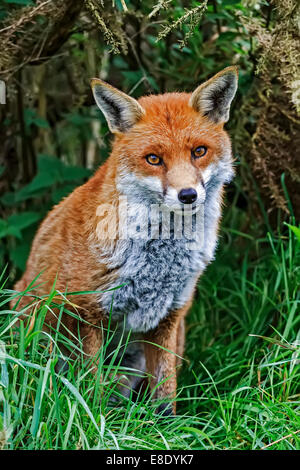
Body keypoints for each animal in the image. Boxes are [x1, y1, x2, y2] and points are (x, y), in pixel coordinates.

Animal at [11, 65, 238, 414]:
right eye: (154, 159)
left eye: (199, 151)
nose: (187, 195)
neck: (159, 261)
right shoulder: (87, 312)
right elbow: (90, 391)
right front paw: (91, 422)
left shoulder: (169, 316)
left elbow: (165, 391)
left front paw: (166, 424)